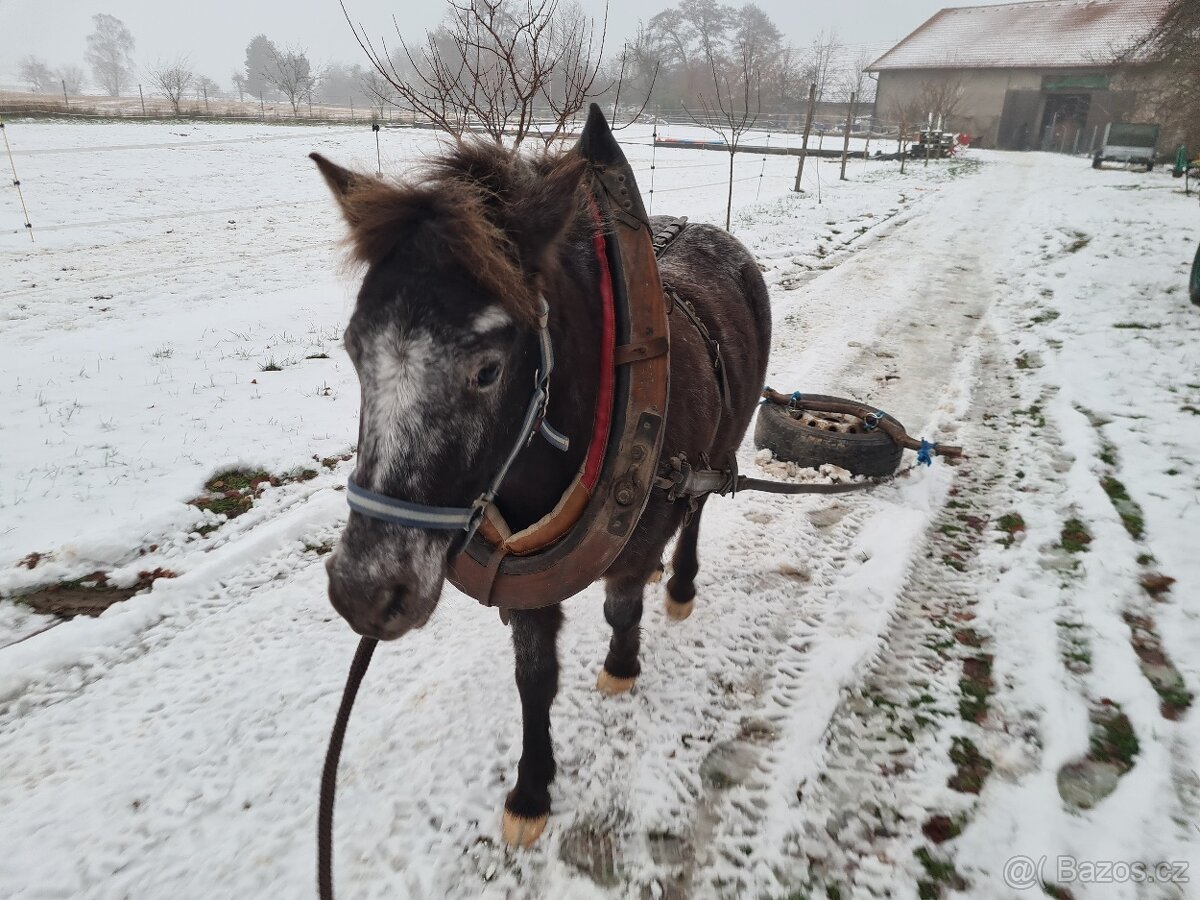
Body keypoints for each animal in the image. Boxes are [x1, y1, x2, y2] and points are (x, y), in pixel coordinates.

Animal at [311, 126, 771, 848]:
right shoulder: (524, 581)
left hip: (724, 444)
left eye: (488, 369)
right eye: (356, 351)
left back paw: (678, 585)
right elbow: (534, 675)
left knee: (697, 508)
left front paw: (621, 666)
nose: (364, 591)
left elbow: (621, 608)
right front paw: (531, 790)